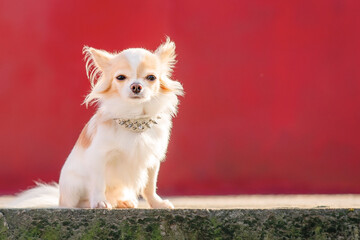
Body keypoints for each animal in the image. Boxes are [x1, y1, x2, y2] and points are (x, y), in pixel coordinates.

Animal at [8, 38, 183, 209]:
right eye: (120, 77)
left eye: (151, 77)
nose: (136, 86)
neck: (135, 117)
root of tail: (59, 200)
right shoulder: (99, 157)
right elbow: (99, 183)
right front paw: (99, 202)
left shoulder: (152, 159)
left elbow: (150, 186)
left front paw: (157, 203)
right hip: (74, 187)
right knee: (78, 202)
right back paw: (92, 203)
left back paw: (123, 201)